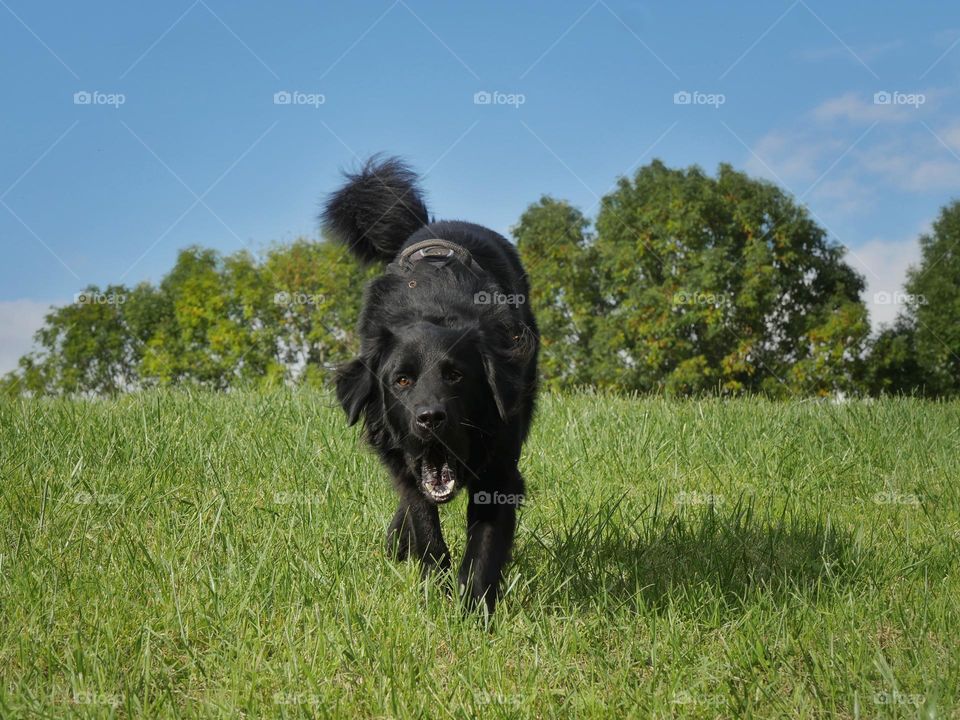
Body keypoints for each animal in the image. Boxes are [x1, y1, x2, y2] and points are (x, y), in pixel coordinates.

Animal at [320, 156, 532, 612]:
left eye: (456, 376)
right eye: (401, 380)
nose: (430, 418)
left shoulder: (500, 469)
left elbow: (484, 547)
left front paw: (472, 610)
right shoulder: (407, 465)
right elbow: (424, 523)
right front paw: (436, 587)